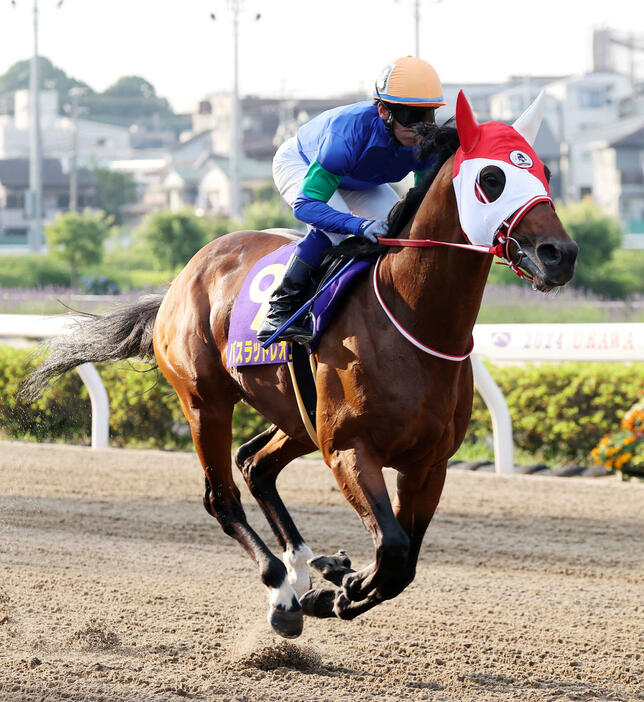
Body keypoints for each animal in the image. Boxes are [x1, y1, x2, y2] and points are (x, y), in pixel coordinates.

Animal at [23, 95, 580, 644]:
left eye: (546, 170)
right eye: (492, 178)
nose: (561, 254)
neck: (414, 320)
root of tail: (182, 277)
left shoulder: (429, 463)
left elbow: (402, 564)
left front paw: (338, 582)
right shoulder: (349, 450)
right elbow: (393, 549)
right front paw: (336, 590)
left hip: (297, 416)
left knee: (255, 464)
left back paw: (309, 566)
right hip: (207, 403)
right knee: (221, 497)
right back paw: (283, 590)